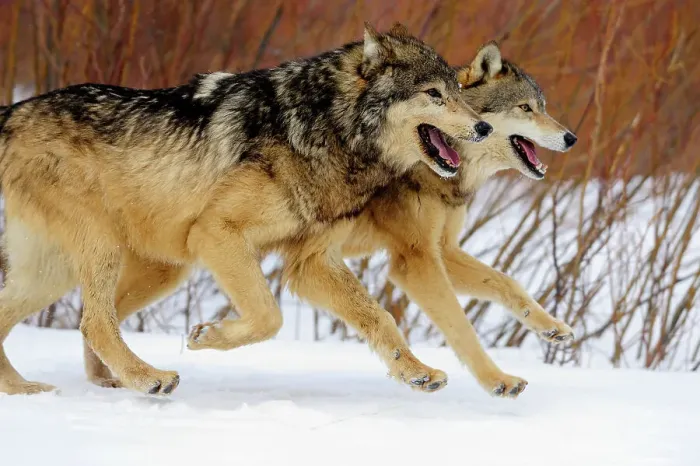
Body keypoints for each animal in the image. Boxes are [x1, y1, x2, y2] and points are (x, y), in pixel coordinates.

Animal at [0, 23, 492, 396]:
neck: (325, 128)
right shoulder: (217, 232)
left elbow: (381, 318)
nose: (485, 127)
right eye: (433, 93)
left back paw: (24, 389)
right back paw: (149, 378)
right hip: (105, 252)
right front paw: (208, 337)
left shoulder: (312, 262)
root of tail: (14, 111)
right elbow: (269, 316)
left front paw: (415, 371)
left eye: (458, 91)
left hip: (87, 271)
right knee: (95, 324)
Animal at [80, 39, 578, 399]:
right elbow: (457, 324)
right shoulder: (413, 260)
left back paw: (110, 377)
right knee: (97, 314)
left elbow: (507, 284)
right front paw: (494, 379)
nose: (571, 137)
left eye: (544, 106)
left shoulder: (441, 250)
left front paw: (550, 328)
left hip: (167, 271)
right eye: (527, 109)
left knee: (98, 314)